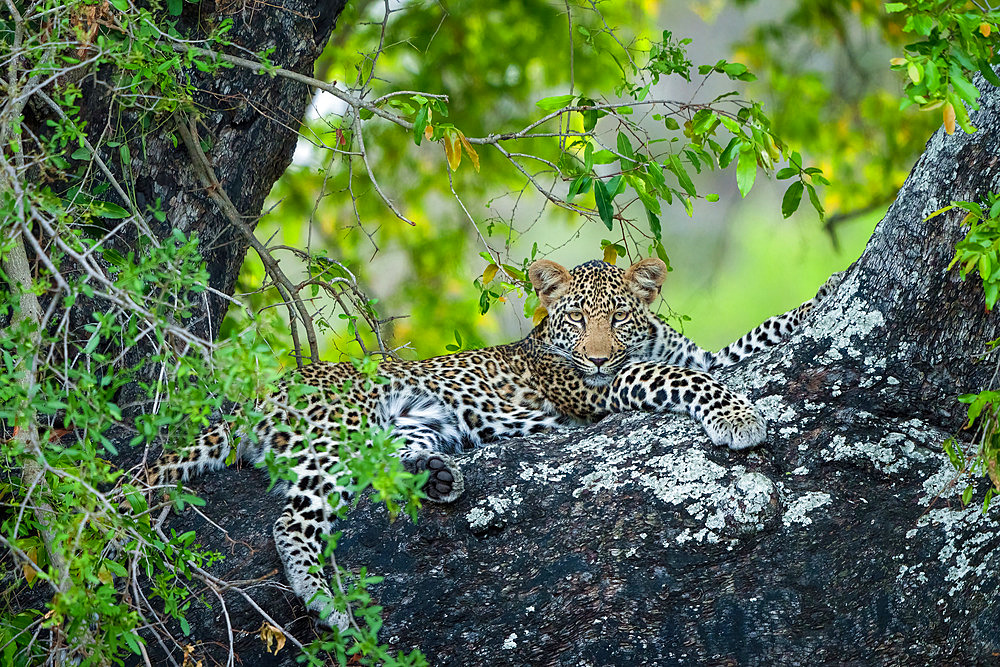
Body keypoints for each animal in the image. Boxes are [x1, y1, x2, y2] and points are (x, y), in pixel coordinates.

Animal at [148, 258, 840, 632]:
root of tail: (262, 393)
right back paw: (325, 602)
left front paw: (818, 303)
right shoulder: (599, 393)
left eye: (618, 317)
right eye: (575, 319)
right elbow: (680, 378)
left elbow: (749, 339)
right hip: (335, 434)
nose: (597, 355)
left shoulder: (693, 353)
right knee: (291, 518)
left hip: (406, 424)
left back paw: (440, 474)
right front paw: (737, 417)